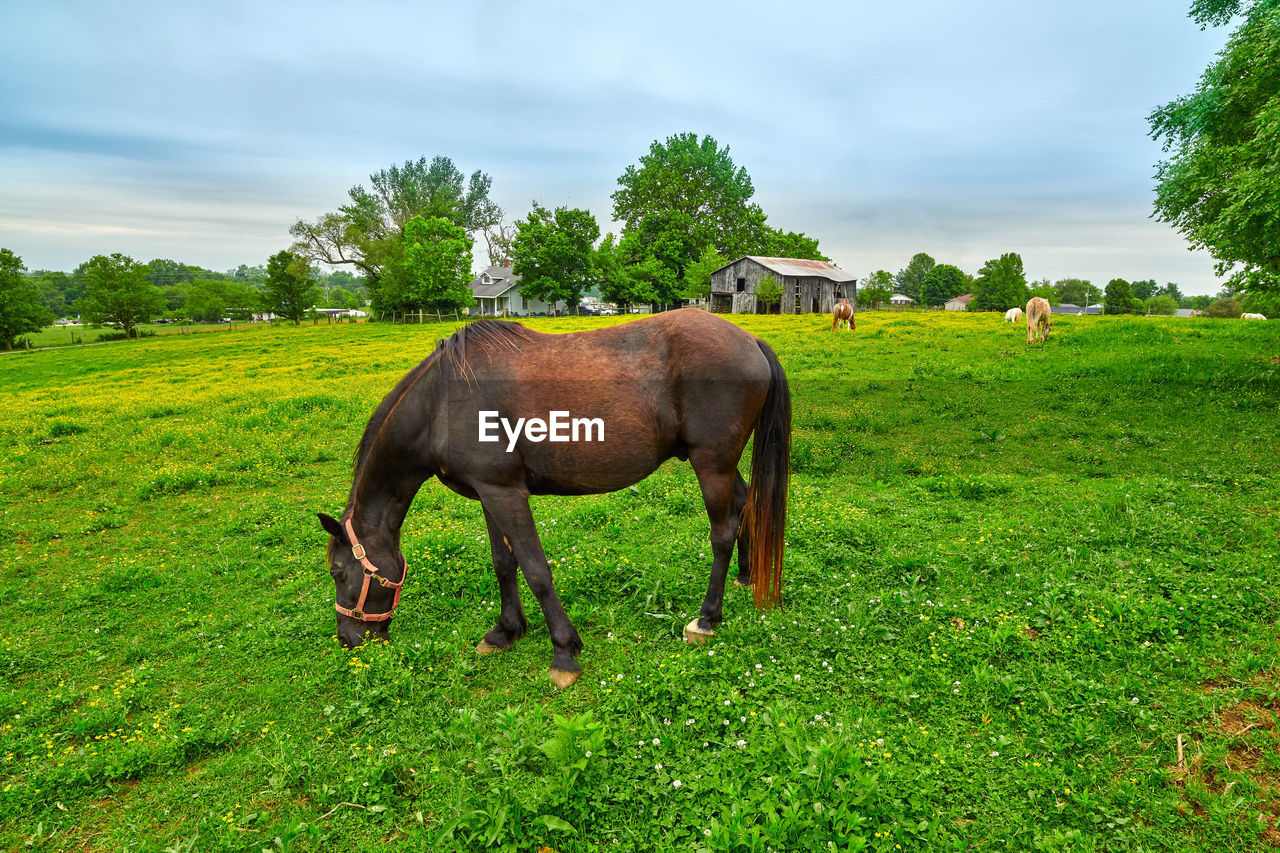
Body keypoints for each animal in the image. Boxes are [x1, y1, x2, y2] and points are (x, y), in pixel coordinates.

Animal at [317, 308, 788, 686]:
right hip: (720, 465)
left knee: (722, 532)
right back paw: (746, 576)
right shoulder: (489, 494)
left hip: (711, 464)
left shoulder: (507, 495)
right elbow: (504, 564)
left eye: (338, 573)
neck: (441, 403)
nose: (348, 639)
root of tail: (751, 341)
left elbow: (536, 570)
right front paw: (505, 631)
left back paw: (707, 618)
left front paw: (564, 651)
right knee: (744, 504)